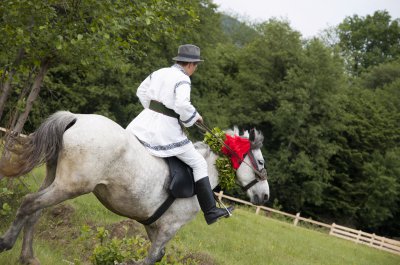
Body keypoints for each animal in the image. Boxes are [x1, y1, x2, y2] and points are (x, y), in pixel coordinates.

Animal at [0, 111, 270, 264]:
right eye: (260, 162)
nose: (265, 196)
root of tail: (77, 118)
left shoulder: (154, 225)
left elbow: (157, 256)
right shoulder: (170, 227)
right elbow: (151, 258)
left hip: (56, 179)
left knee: (35, 211)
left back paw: (28, 256)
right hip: (71, 185)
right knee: (30, 203)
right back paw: (7, 243)